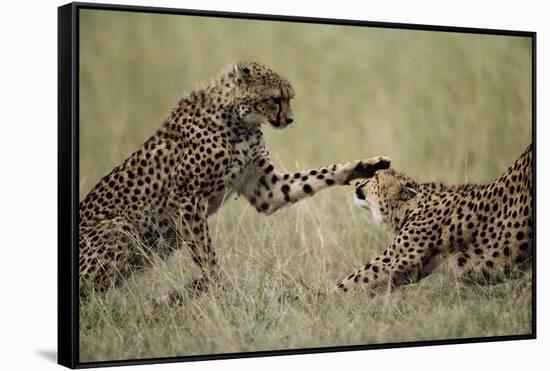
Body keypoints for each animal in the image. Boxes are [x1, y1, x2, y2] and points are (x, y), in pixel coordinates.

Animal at [81, 62, 392, 298]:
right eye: (276, 98)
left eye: (289, 98)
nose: (290, 120)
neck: (239, 120)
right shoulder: (186, 200)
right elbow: (206, 255)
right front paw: (217, 292)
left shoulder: (265, 189)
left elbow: (314, 177)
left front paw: (363, 166)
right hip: (120, 229)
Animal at [336, 145, 536, 294]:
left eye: (375, 178)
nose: (357, 183)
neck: (412, 207)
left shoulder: (396, 261)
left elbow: (351, 282)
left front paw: (329, 304)